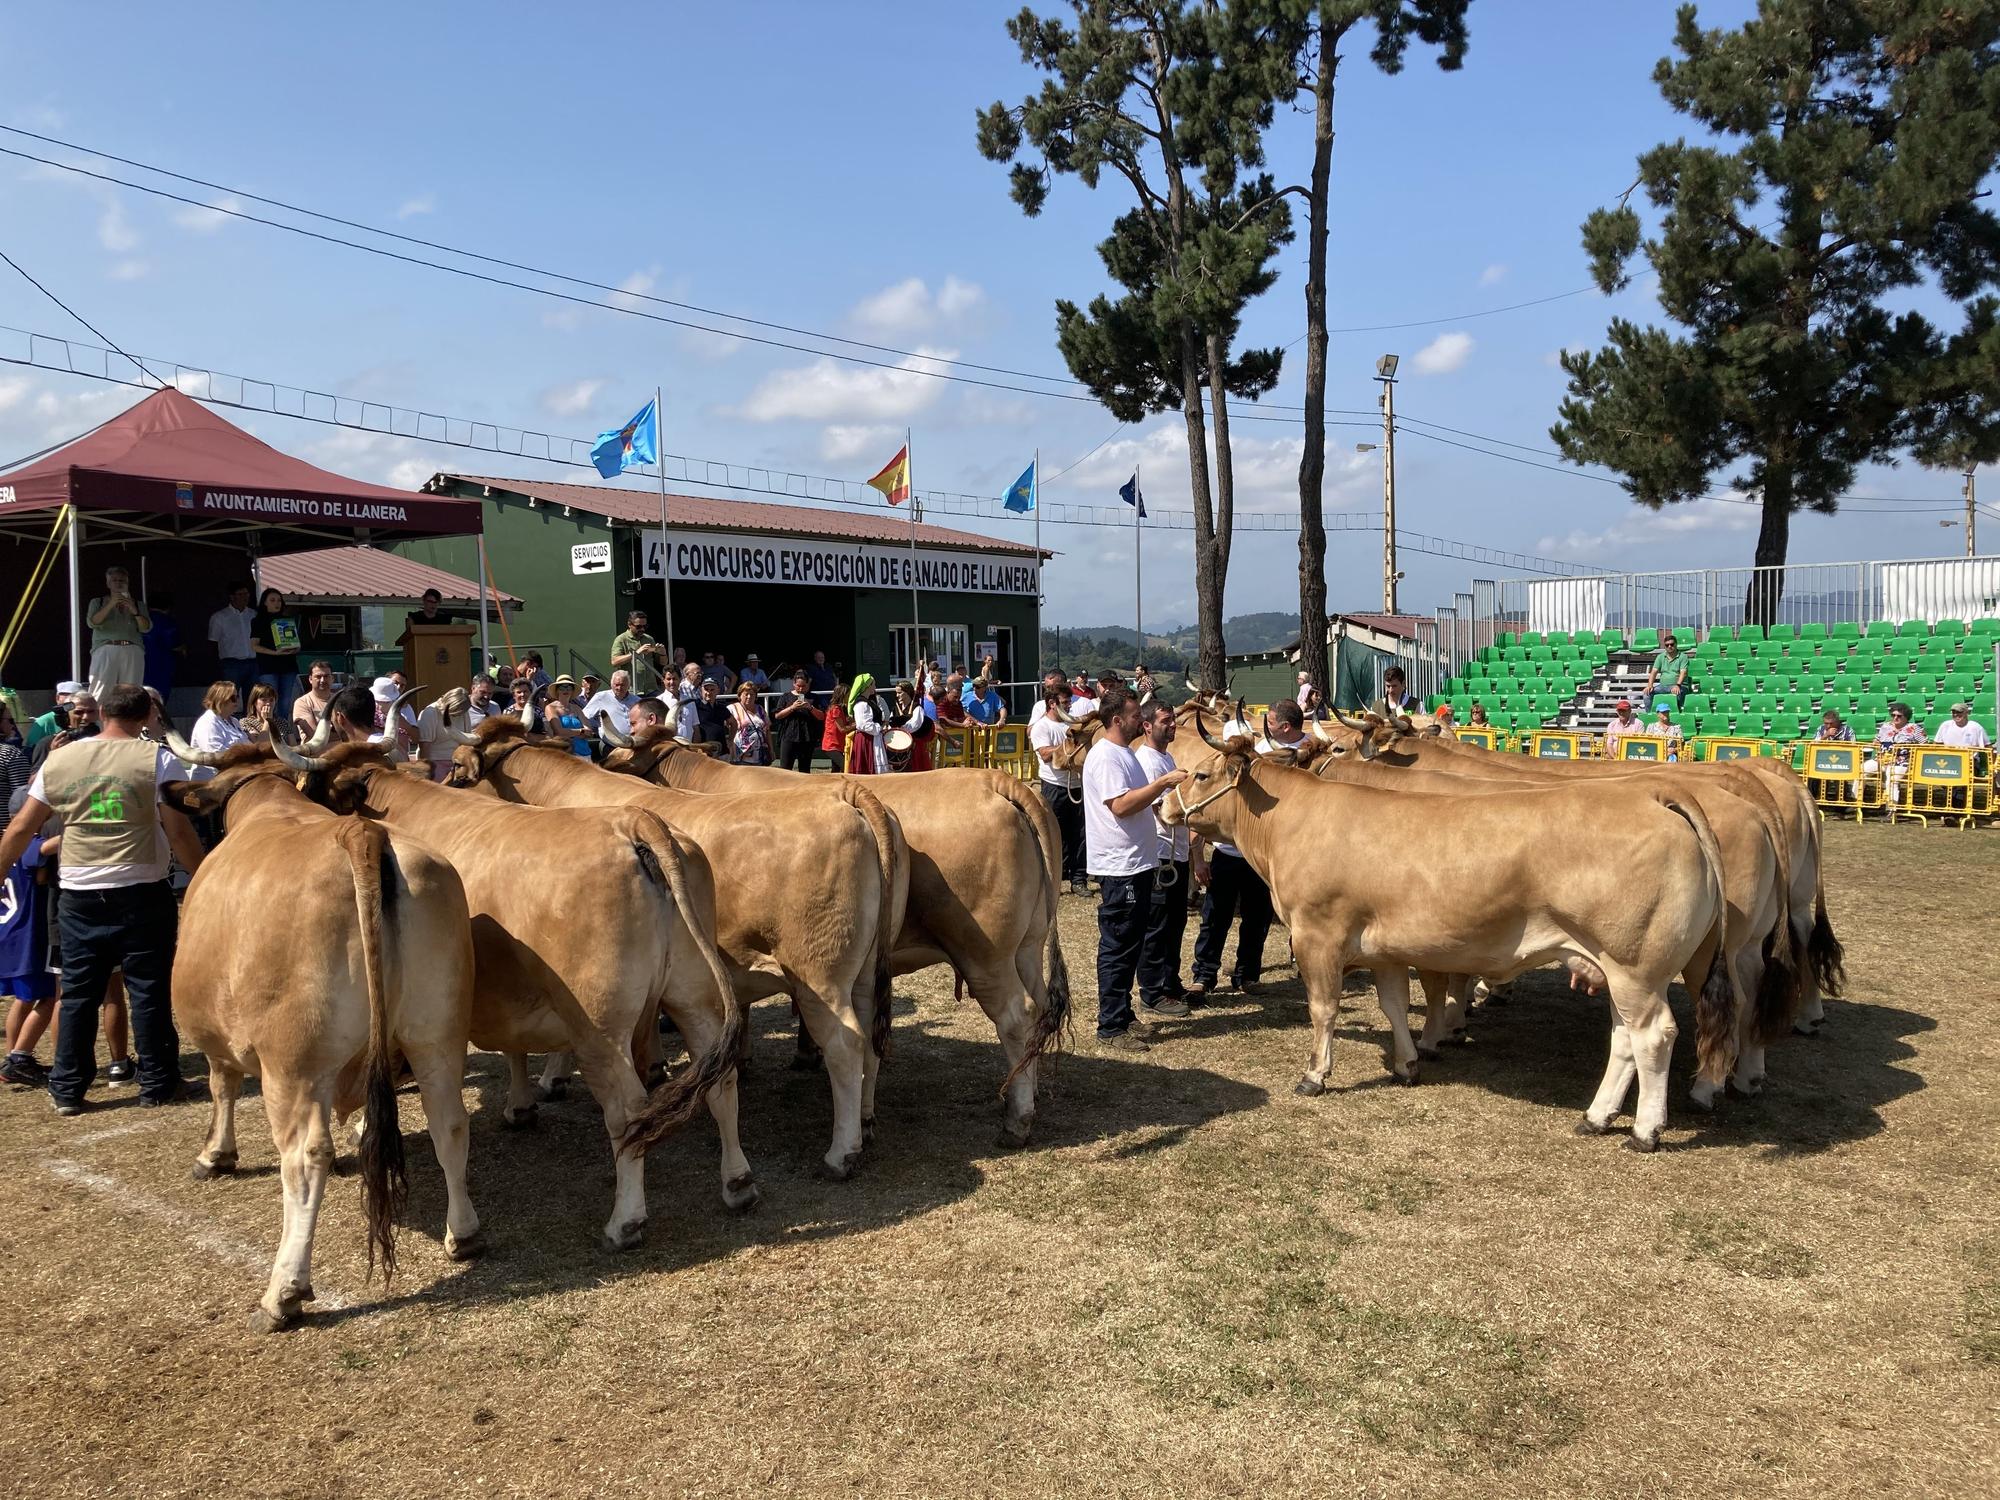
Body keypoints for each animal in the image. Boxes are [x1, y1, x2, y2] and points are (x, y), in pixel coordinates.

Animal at [161, 744, 480, 1336]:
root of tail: (361, 834)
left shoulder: (220, 1038)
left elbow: (221, 1086)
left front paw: (215, 1155)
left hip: (295, 1064)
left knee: (306, 1157)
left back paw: (283, 1292)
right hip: (438, 1034)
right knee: (449, 1122)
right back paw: (464, 1234)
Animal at [282, 736, 744, 1248]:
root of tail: (636, 821)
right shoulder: (509, 992)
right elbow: (513, 1048)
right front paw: (521, 1104)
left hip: (600, 1028)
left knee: (627, 1111)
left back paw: (625, 1221)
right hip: (694, 995)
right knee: (721, 1078)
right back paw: (738, 1183)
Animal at [592, 724, 1072, 1144]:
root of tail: (1001, 782)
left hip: (985, 953)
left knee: (1016, 1014)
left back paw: (1016, 1121)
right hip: (1027, 945)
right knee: (1038, 1010)